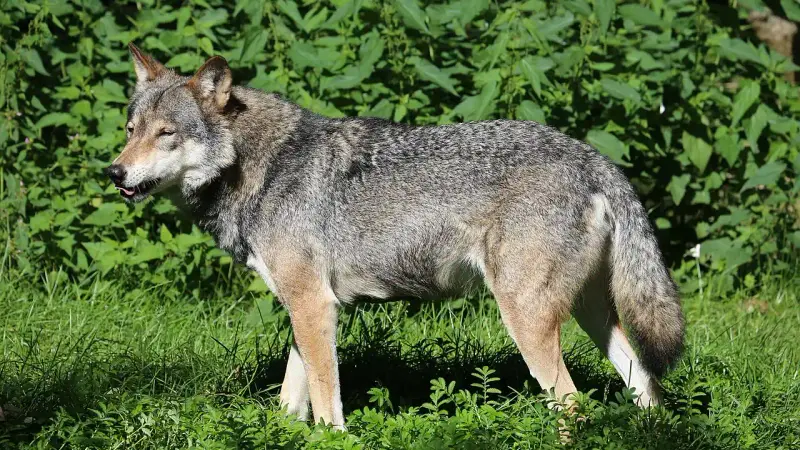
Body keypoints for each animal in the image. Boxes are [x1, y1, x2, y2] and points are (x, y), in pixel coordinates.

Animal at [106, 43, 685, 429]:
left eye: (166, 134)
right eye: (131, 130)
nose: (114, 173)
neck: (259, 168)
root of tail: (594, 159)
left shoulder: (314, 305)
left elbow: (328, 405)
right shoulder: (305, 306)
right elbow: (293, 401)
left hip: (527, 320)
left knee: (573, 402)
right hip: (590, 315)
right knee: (645, 383)